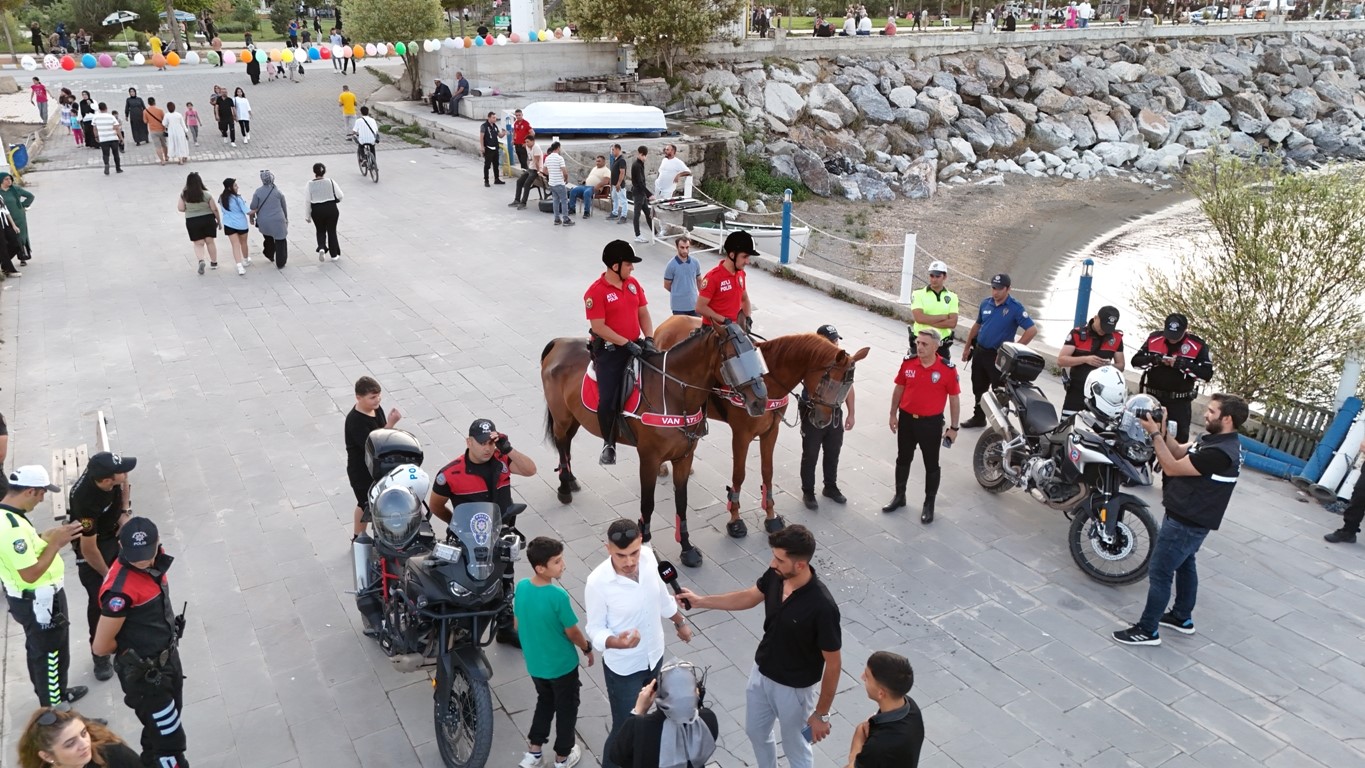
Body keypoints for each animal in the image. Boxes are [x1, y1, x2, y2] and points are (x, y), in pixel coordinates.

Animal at [540, 321, 775, 567]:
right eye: (733, 357)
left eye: (756, 354)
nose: (760, 401)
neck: (673, 393)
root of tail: (560, 342)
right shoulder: (649, 459)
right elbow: (647, 504)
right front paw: (645, 545)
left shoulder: (684, 457)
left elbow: (681, 501)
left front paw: (687, 548)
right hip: (561, 417)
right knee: (561, 443)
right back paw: (564, 487)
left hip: (574, 417)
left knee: (567, 444)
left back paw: (571, 481)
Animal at [655, 315, 868, 537]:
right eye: (829, 382)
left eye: (847, 387)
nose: (823, 420)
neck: (766, 379)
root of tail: (672, 320)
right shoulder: (741, 435)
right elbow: (738, 475)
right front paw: (735, 518)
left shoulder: (771, 431)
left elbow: (768, 471)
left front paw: (771, 515)